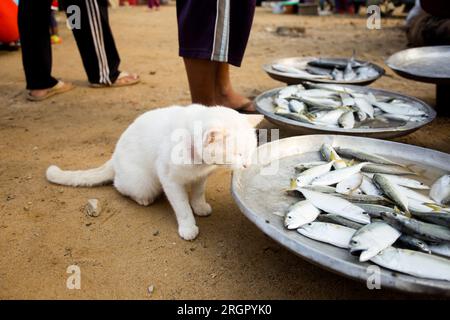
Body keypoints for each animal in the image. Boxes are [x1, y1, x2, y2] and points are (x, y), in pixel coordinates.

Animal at [46, 105, 256, 240]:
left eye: (251, 150)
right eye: (238, 154)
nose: (247, 165)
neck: (198, 162)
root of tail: (114, 156)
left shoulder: (200, 178)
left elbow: (197, 194)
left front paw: (200, 207)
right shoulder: (169, 180)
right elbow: (182, 208)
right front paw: (188, 227)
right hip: (144, 183)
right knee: (119, 186)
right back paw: (142, 199)